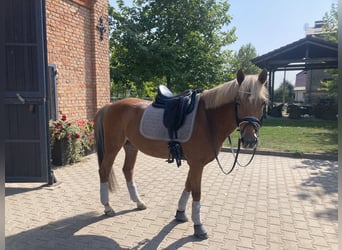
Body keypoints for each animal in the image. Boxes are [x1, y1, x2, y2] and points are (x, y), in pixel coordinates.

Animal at [95, 68, 268, 238]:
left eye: (263, 103)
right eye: (237, 102)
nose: (249, 140)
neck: (207, 119)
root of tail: (109, 106)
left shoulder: (195, 164)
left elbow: (188, 185)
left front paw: (180, 213)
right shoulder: (197, 165)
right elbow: (196, 192)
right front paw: (199, 226)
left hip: (131, 147)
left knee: (128, 170)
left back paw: (138, 202)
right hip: (113, 147)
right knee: (104, 170)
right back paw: (108, 207)